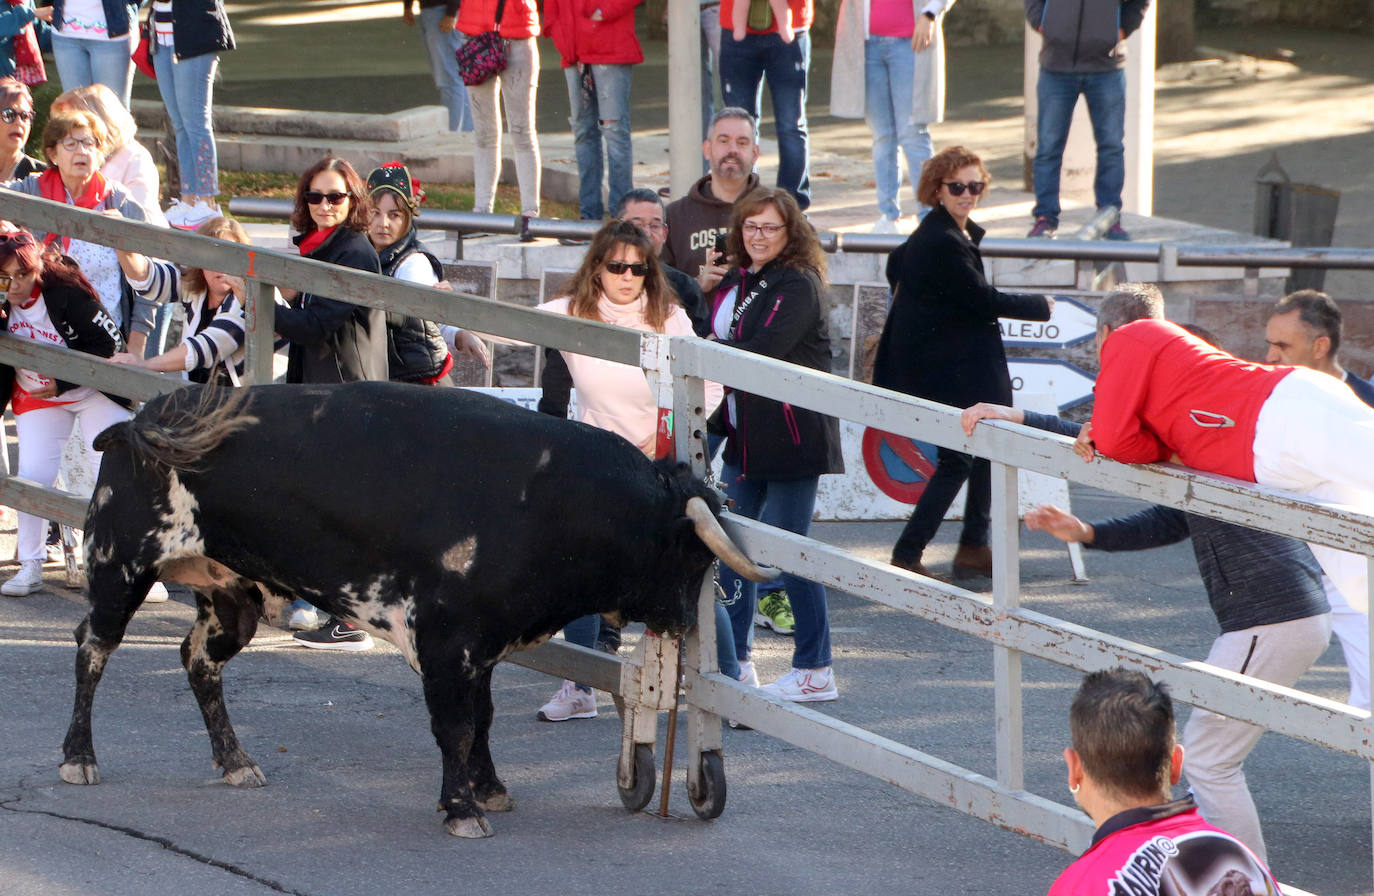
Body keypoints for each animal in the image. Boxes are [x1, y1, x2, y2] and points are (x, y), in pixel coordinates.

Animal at [61, 382, 774, 835]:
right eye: (690, 556)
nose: (683, 622)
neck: (545, 498)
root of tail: (144, 417)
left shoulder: (483, 645)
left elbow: (482, 721)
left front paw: (489, 788)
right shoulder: (446, 640)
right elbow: (455, 726)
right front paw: (462, 809)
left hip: (231, 592)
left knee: (198, 662)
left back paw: (236, 762)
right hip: (119, 565)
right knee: (92, 648)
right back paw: (78, 758)